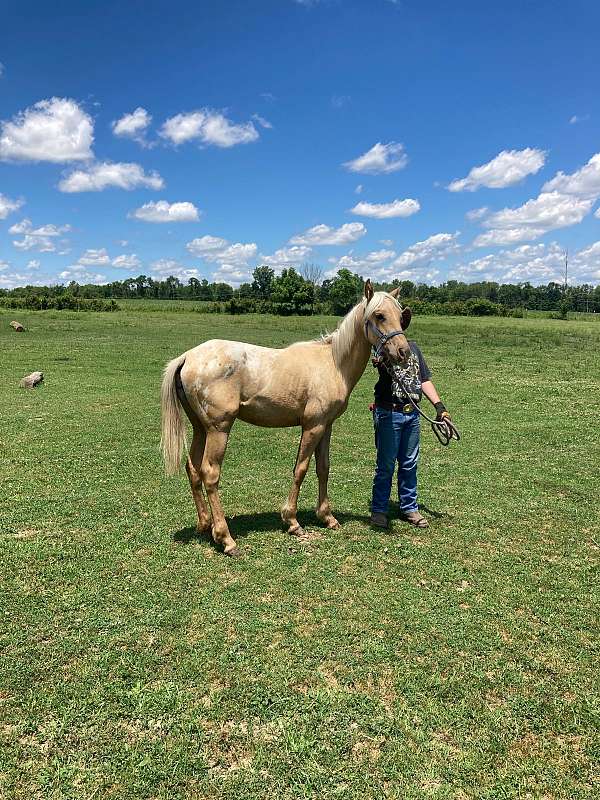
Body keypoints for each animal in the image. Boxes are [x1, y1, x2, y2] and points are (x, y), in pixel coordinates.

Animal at [159, 282, 412, 556]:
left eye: (401, 316)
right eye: (379, 315)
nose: (403, 352)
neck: (333, 363)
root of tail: (187, 357)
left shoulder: (326, 426)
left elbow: (323, 468)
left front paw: (327, 517)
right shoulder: (313, 426)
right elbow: (300, 469)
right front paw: (292, 521)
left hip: (200, 429)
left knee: (193, 469)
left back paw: (205, 524)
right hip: (218, 430)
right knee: (210, 473)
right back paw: (226, 538)